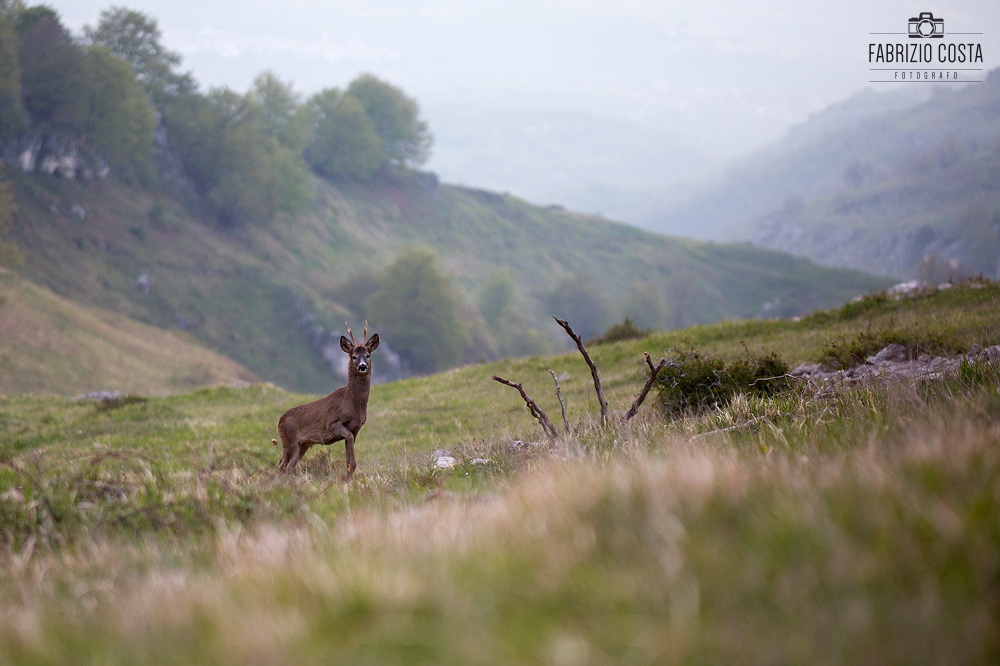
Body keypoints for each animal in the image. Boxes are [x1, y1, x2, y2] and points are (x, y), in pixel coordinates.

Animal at [274, 320, 378, 472]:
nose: (362, 366)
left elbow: (349, 462)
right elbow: (350, 452)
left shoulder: (356, 429)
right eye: (354, 356)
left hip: (302, 444)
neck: (354, 403)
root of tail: (279, 421)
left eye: (368, 355)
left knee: (289, 466)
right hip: (289, 441)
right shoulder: (332, 422)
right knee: (282, 464)